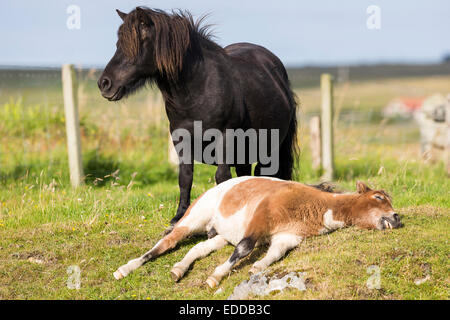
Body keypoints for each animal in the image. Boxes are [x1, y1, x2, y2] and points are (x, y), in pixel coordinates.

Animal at [100, 6, 300, 224]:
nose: (105, 84)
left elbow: (222, 177)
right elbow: (185, 177)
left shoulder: (224, 139)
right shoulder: (181, 140)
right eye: (118, 44)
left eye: (135, 44)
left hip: (270, 148)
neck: (199, 90)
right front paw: (179, 215)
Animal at [113, 178, 400, 288]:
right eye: (378, 197)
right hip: (192, 221)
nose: (397, 218)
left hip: (219, 235)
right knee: (165, 244)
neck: (312, 203)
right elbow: (244, 248)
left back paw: (178, 270)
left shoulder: (288, 237)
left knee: (196, 250)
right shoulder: (261, 218)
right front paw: (215, 277)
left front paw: (257, 267)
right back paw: (124, 269)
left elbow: (274, 254)